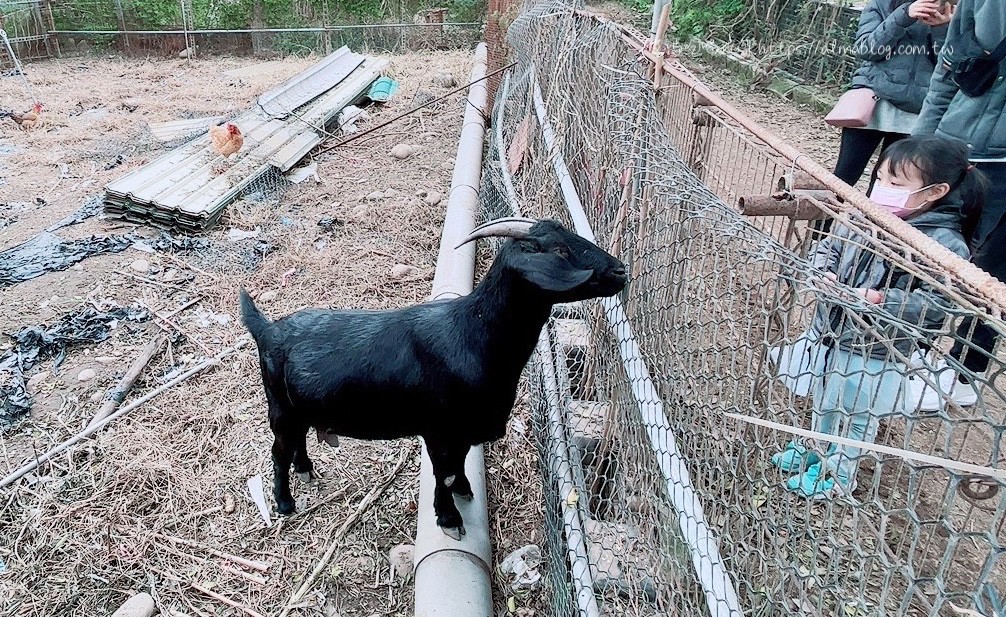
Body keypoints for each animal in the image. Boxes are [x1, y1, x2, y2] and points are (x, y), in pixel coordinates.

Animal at [238, 219, 623, 535]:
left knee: (297, 441)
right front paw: (449, 518)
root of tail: (268, 330)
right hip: (280, 408)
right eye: (559, 250)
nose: (620, 269)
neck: (472, 333)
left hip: (300, 409)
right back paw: (284, 502)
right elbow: (443, 471)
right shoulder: (439, 428)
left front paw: (465, 490)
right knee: (278, 450)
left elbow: (459, 464)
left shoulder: (464, 430)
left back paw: (305, 469)